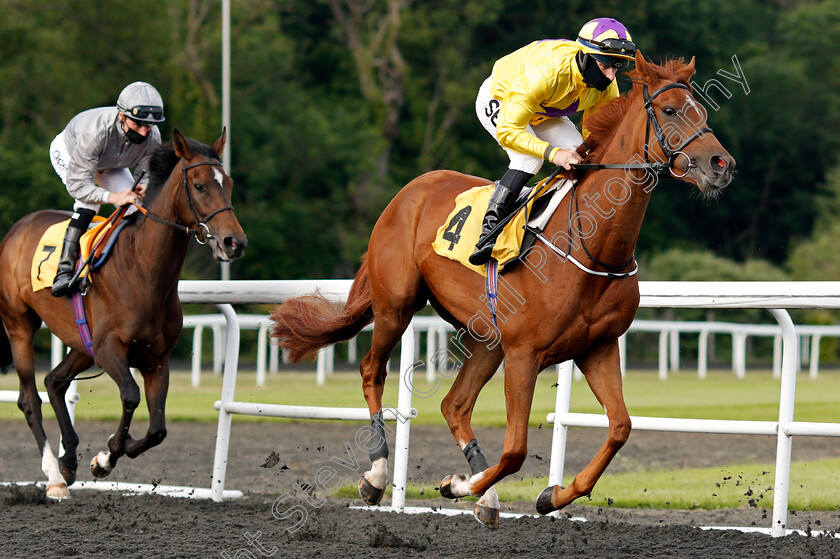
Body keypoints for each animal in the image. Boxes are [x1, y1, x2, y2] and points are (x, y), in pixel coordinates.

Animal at [0, 128, 246, 498]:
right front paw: (105, 458)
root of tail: (17, 228)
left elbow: (158, 429)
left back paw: (68, 460)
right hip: (20, 325)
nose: (234, 243)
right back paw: (55, 477)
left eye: (228, 183)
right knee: (30, 397)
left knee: (54, 381)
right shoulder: (109, 349)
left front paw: (111, 451)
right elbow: (130, 396)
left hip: (81, 342)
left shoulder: (156, 357)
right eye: (200, 185)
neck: (145, 270)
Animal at [270, 50, 736, 528]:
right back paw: (379, 475)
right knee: (372, 371)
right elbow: (515, 450)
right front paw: (457, 485)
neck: (591, 246)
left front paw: (549, 495)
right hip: (397, 305)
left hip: (486, 338)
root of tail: (409, 191)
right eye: (670, 110)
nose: (722, 164)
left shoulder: (598, 347)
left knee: (454, 404)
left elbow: (620, 428)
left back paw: (485, 495)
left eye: (701, 109)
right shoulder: (524, 353)